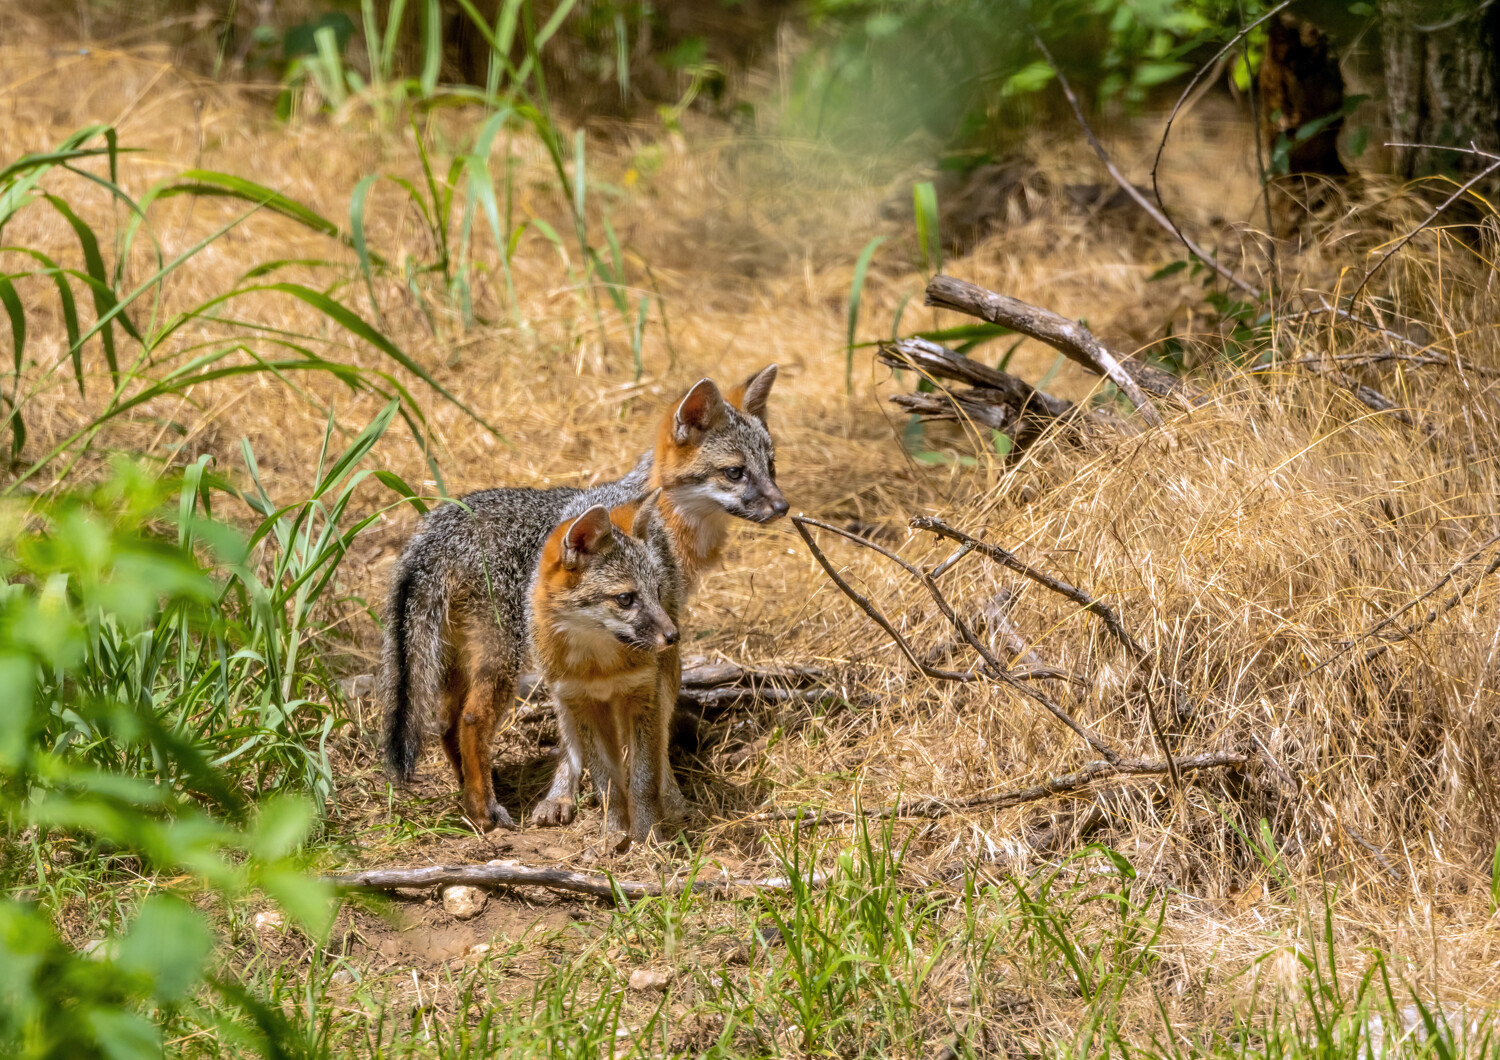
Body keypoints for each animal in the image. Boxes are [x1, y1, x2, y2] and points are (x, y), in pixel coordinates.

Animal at [529, 494, 683, 843]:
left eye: (656, 592)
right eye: (625, 598)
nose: (673, 636)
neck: (599, 667)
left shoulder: (644, 694)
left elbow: (643, 778)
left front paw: (647, 835)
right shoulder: (582, 701)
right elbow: (607, 783)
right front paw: (613, 833)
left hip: (666, 682)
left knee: (662, 746)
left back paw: (673, 798)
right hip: (561, 698)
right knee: (569, 743)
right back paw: (559, 796)